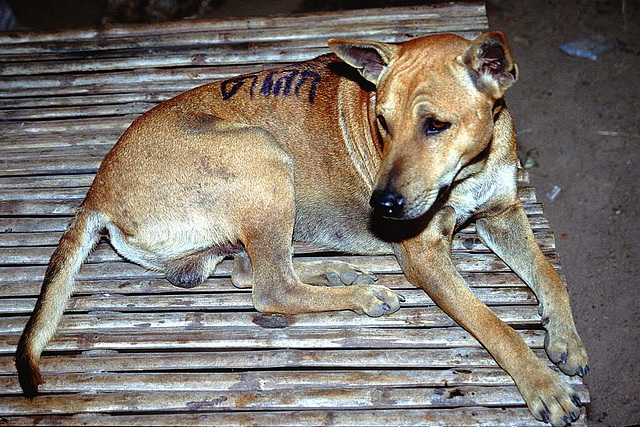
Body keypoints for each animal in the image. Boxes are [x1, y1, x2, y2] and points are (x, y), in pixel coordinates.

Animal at [15, 31, 588, 426]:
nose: (382, 204)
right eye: (381, 122)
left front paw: (565, 339)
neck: (469, 172)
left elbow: (551, 275)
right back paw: (361, 293)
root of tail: (97, 192)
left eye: (436, 125)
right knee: (272, 288)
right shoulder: (424, 255)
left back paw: (337, 272)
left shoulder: (504, 214)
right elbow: (493, 324)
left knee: (250, 270)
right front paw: (543, 385)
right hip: (263, 155)